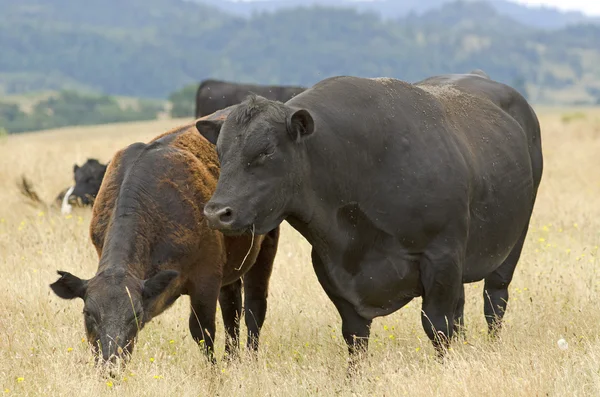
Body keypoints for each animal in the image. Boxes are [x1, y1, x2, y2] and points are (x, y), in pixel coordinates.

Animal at [48, 106, 278, 364]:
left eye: (136, 314)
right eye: (88, 313)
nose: (111, 360)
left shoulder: (206, 278)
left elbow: (203, 331)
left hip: (267, 242)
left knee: (254, 306)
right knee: (232, 305)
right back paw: (232, 359)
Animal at [198, 72, 544, 372]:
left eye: (266, 151)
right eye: (220, 152)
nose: (217, 212)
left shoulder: (441, 256)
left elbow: (437, 325)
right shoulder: (330, 268)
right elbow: (355, 337)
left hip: (512, 242)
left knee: (494, 301)